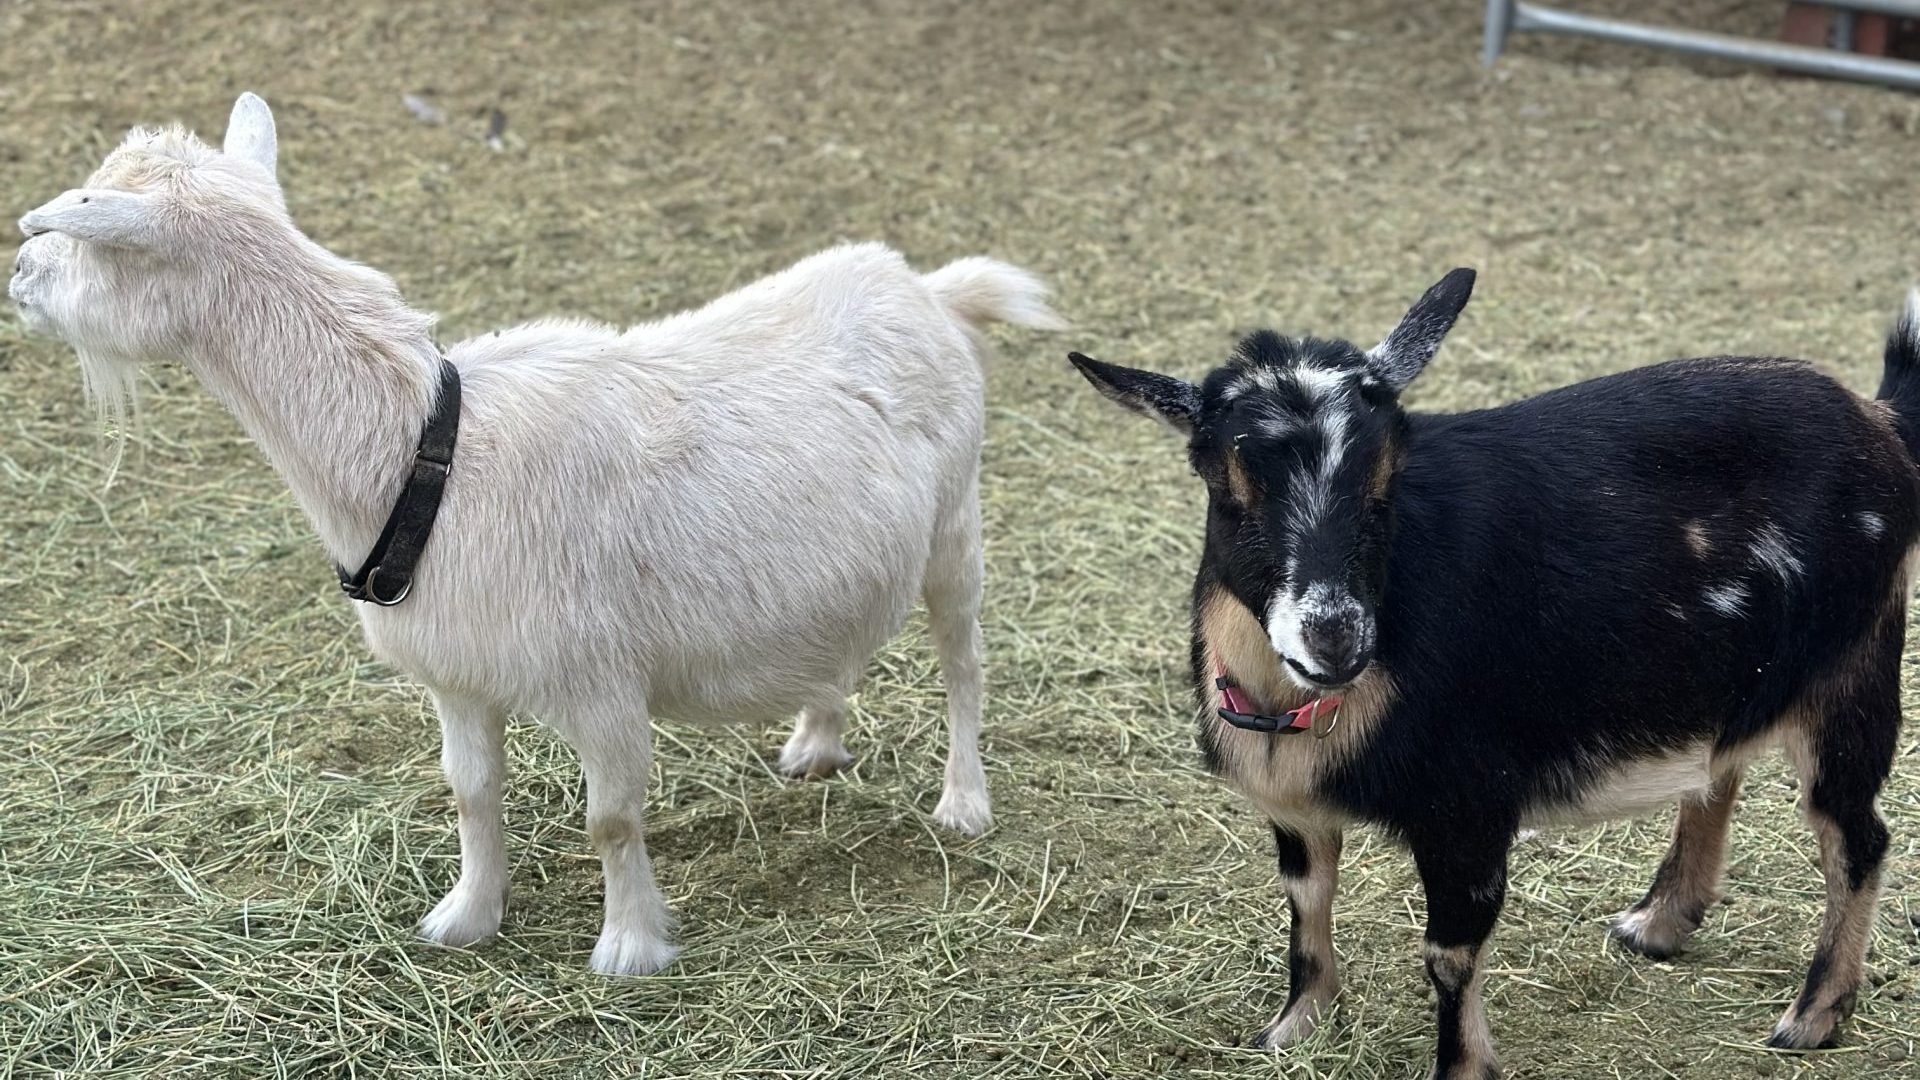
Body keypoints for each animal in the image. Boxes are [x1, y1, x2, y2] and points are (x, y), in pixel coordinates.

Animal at [10, 93, 1063, 975]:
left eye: (91, 236)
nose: (17, 273)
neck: (427, 453)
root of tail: (929, 290)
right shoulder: (458, 676)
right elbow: (472, 797)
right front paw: (465, 918)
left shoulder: (602, 681)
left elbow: (611, 821)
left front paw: (630, 949)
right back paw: (814, 739)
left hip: (956, 527)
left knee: (963, 661)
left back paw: (964, 803)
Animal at [1068, 269, 1915, 1079]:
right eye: (1227, 489)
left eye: (1385, 484)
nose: (1335, 639)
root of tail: (1881, 423)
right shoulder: (1297, 811)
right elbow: (1306, 907)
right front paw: (1294, 1028)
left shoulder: (1468, 805)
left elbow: (1449, 955)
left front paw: (1462, 1065)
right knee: (1722, 767)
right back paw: (1660, 922)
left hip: (1854, 669)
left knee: (1856, 837)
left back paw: (1814, 1015)